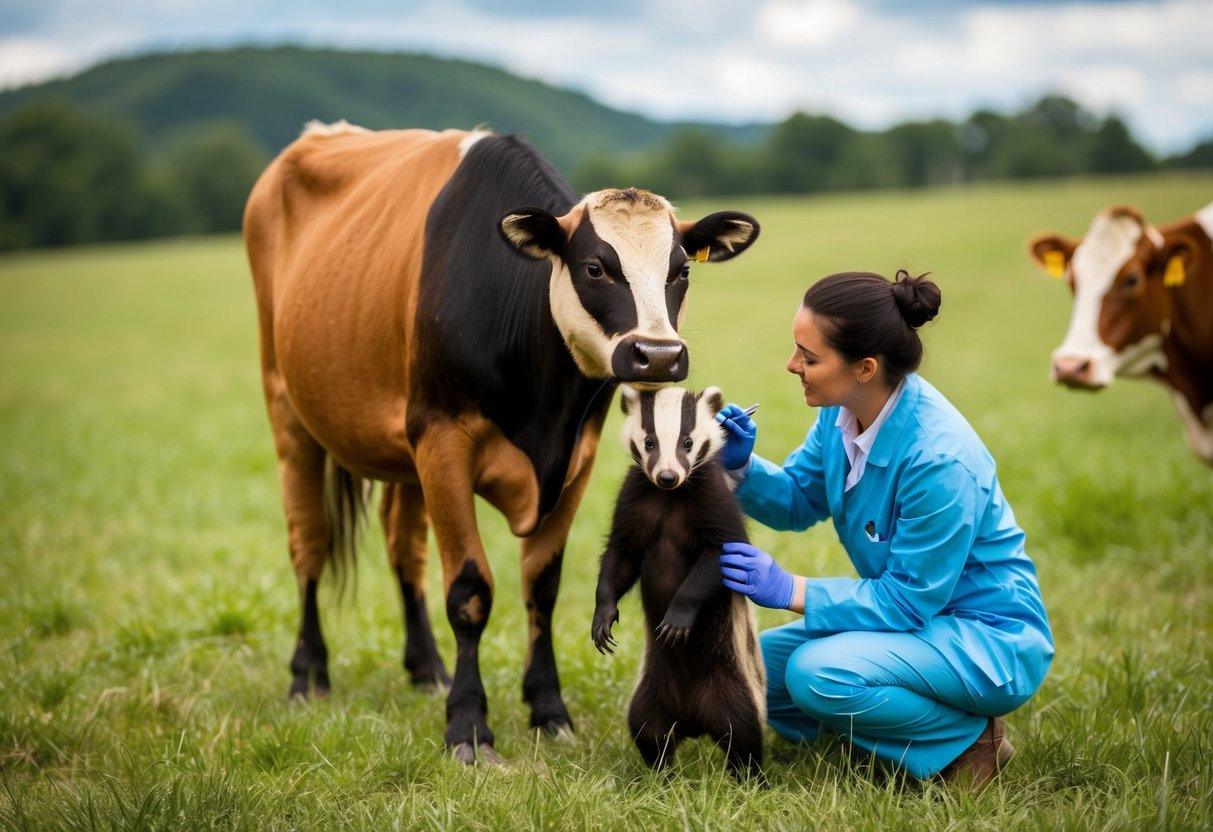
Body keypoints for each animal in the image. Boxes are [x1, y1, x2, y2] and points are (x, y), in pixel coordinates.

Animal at [242, 121, 760, 764]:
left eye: (681, 270)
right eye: (595, 267)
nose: (658, 355)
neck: (543, 410)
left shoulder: (574, 457)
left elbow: (542, 585)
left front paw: (549, 709)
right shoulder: (443, 439)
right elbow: (470, 591)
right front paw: (467, 726)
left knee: (403, 547)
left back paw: (426, 669)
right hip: (287, 409)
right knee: (308, 543)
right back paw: (307, 674)